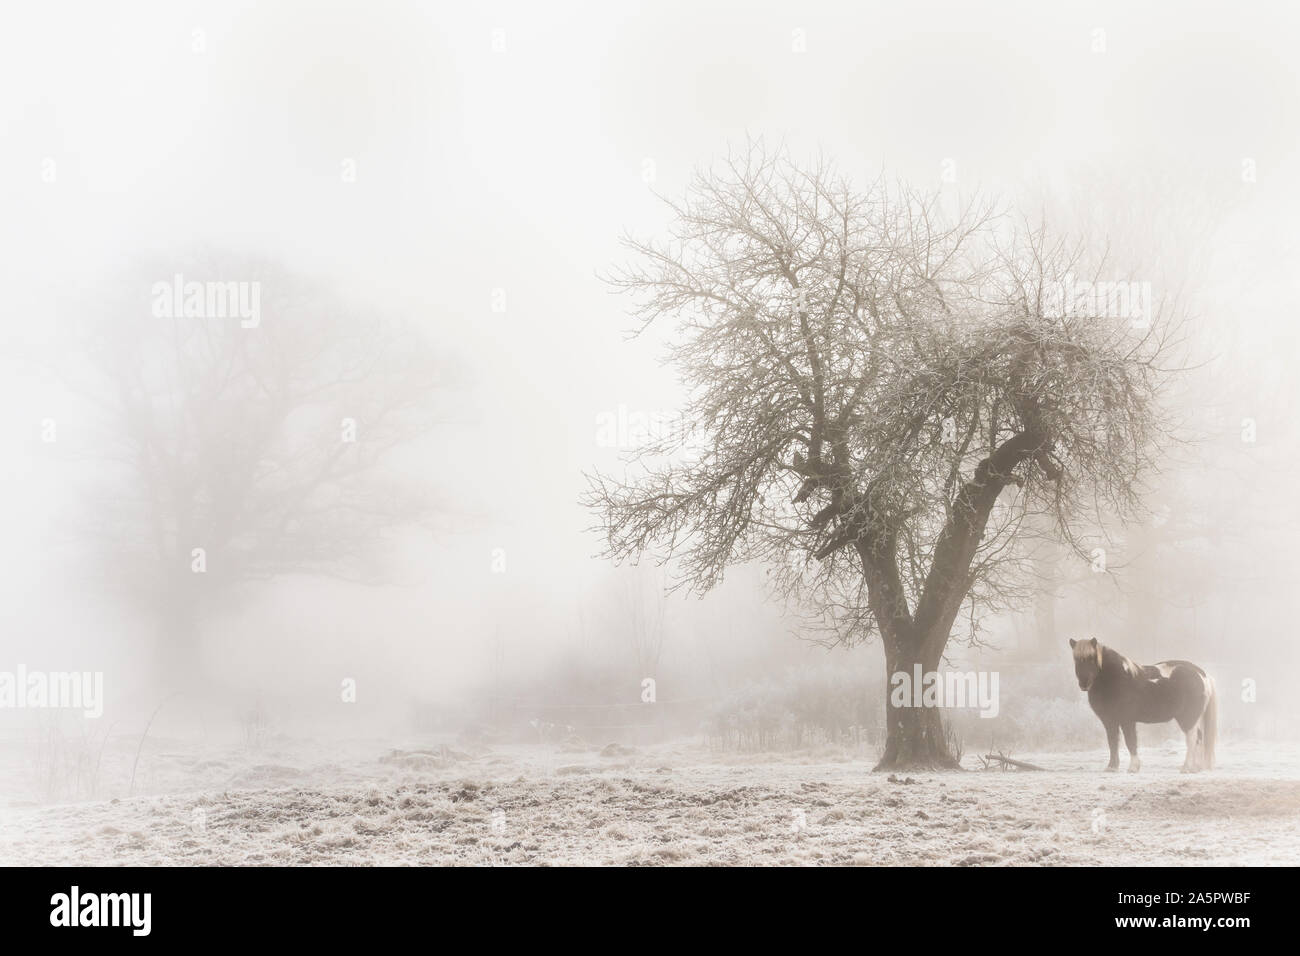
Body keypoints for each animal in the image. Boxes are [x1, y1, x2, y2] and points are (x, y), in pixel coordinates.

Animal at [1066, 639, 1216, 775]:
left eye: (1092, 659)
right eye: (1075, 659)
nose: (1083, 684)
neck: (1116, 679)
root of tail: (1201, 674)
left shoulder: (1127, 720)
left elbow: (1130, 742)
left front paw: (1133, 767)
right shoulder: (1109, 721)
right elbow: (1113, 742)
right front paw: (1112, 767)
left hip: (1187, 719)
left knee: (1192, 740)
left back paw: (1186, 768)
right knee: (1199, 739)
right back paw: (1196, 768)